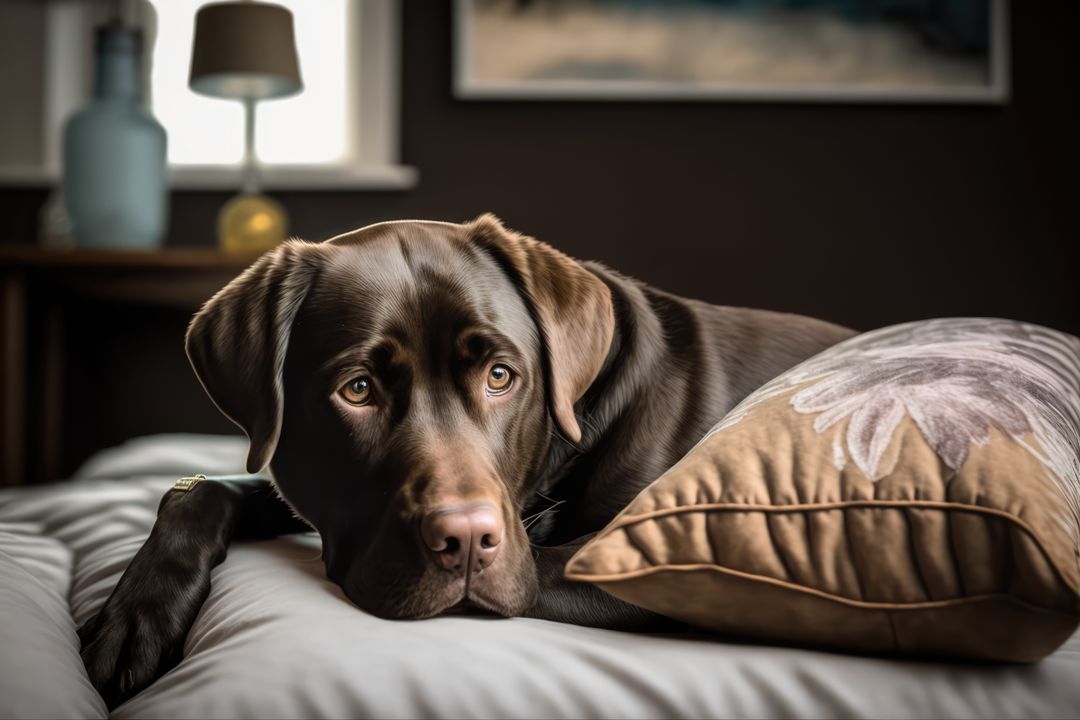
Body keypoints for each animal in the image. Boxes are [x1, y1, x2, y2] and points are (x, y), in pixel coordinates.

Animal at [76, 215, 855, 708]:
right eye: (357, 389)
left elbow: (540, 567)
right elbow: (199, 488)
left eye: (501, 377)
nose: (467, 541)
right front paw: (135, 613)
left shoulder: (659, 565)